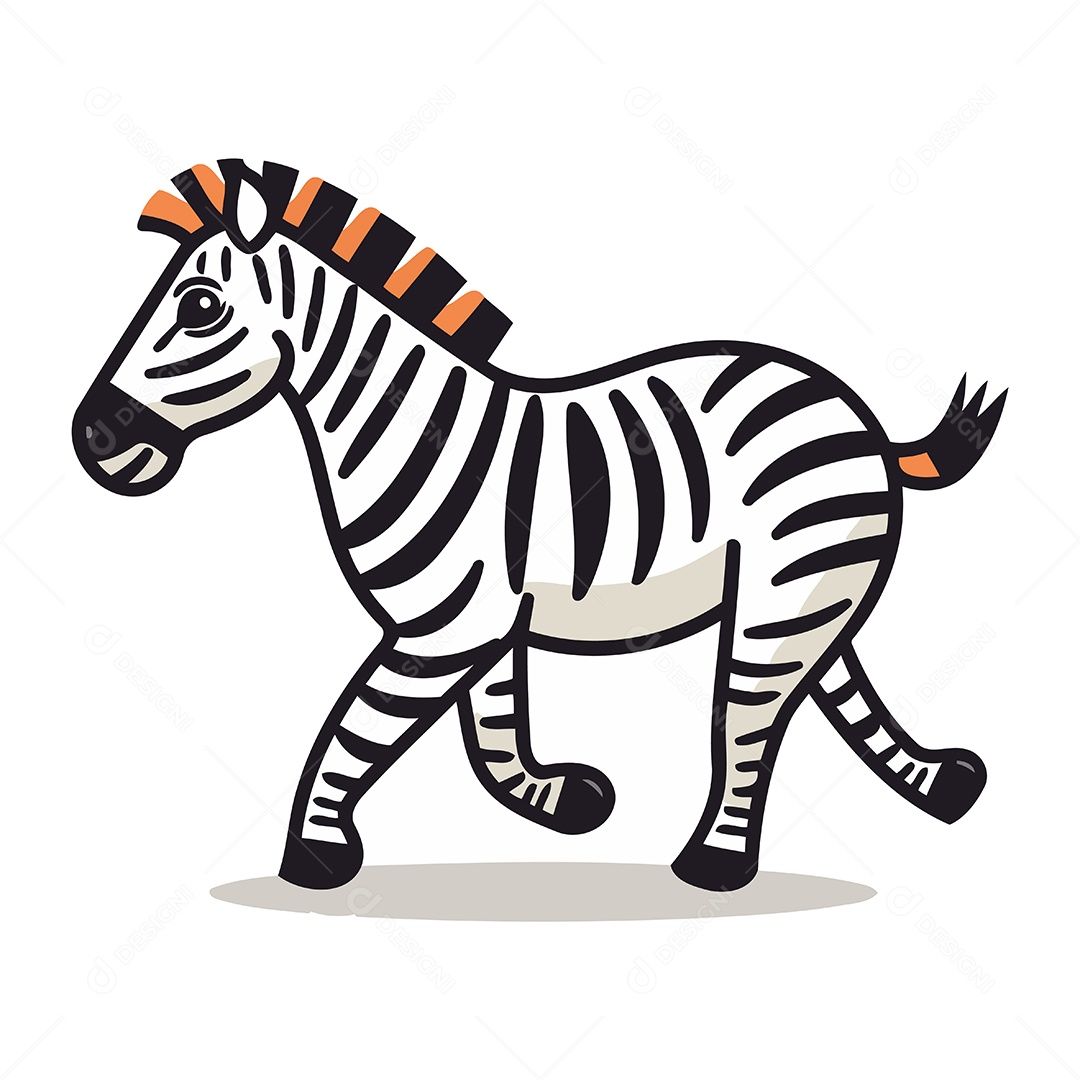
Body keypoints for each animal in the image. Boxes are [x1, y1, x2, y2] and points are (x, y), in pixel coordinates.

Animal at [72, 160, 1006, 894]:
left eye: (198, 305)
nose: (93, 441)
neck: (408, 430)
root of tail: (852, 410)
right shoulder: (484, 625)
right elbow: (489, 731)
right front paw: (561, 798)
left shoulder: (443, 630)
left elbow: (358, 728)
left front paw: (315, 853)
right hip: (812, 581)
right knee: (827, 684)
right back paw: (942, 784)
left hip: (786, 587)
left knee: (750, 718)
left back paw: (715, 862)